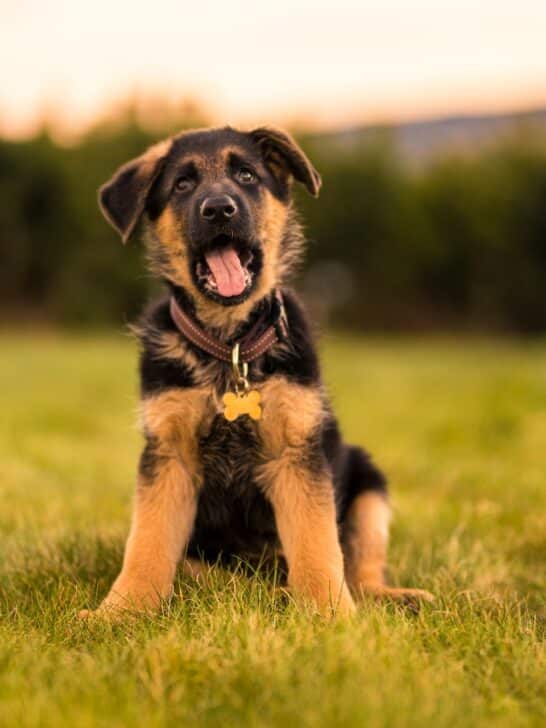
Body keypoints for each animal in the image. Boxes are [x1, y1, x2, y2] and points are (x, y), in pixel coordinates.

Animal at [79, 126, 430, 620]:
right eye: (182, 185)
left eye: (246, 175)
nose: (218, 208)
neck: (230, 347)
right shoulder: (168, 456)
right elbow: (146, 543)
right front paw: (121, 612)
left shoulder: (296, 454)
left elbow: (318, 545)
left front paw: (331, 616)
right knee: (210, 574)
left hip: (369, 486)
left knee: (360, 570)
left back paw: (389, 597)